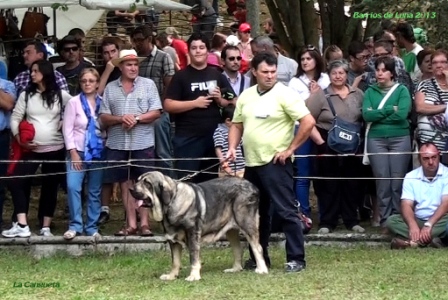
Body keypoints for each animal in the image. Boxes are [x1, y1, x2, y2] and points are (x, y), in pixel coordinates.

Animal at [130, 171, 270, 282]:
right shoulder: (173, 240)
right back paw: (235, 269)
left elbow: (193, 257)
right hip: (231, 230)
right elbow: (175, 261)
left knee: (257, 247)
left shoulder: (192, 234)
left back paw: (262, 269)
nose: (131, 189)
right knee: (237, 248)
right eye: (138, 180)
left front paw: (193, 276)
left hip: (246, 223)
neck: (171, 203)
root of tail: (253, 186)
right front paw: (171, 276)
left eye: (147, 183)